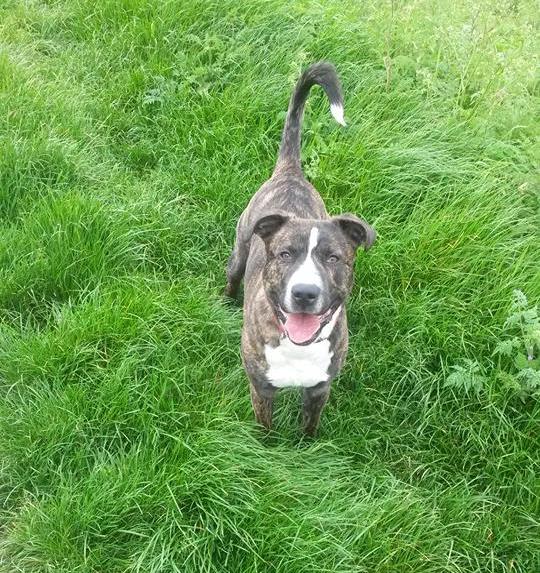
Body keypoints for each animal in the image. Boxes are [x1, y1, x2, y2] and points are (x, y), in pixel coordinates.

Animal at [224, 61, 376, 434]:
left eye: (333, 257)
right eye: (285, 254)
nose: (305, 293)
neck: (298, 347)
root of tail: (291, 172)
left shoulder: (319, 390)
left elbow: (309, 429)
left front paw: (308, 445)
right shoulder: (261, 390)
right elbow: (266, 432)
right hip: (240, 249)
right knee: (232, 275)